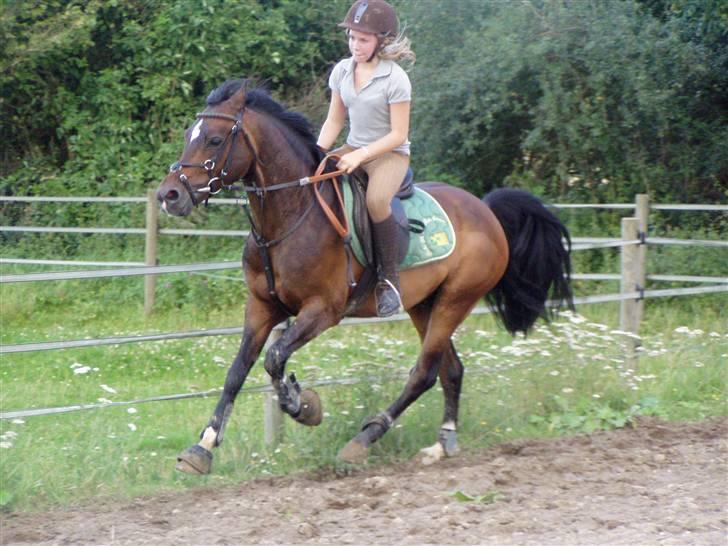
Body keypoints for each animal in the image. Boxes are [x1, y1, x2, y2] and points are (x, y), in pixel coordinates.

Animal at [156, 78, 572, 474]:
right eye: (188, 136)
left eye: (213, 139)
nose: (169, 195)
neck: (291, 216)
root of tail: (485, 210)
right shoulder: (261, 308)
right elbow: (237, 371)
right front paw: (202, 447)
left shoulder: (323, 310)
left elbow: (274, 359)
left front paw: (303, 406)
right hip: (424, 305)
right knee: (451, 370)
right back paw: (442, 443)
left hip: (456, 299)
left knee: (424, 372)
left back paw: (365, 439)